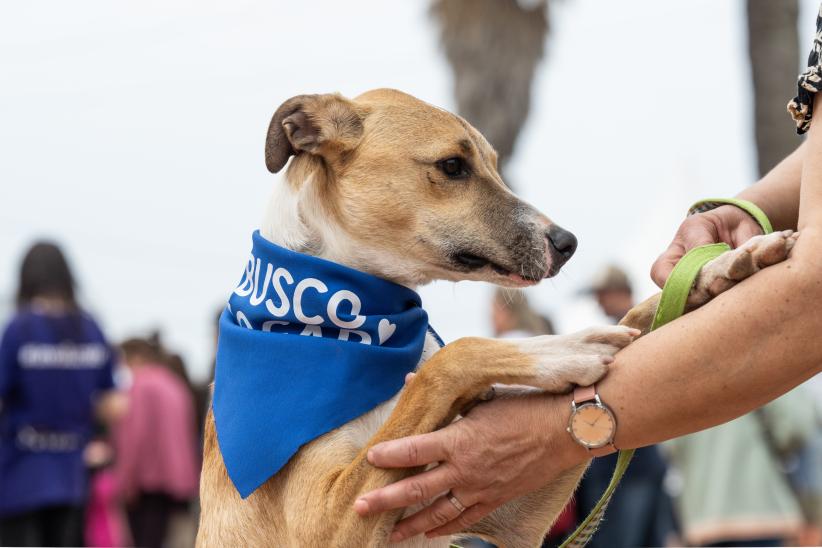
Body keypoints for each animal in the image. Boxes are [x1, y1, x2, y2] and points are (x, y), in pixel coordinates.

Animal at [198, 90, 800, 548]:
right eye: (452, 166)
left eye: (493, 163)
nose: (568, 244)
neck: (355, 321)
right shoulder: (325, 522)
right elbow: (452, 356)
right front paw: (564, 350)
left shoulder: (501, 512)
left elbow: (638, 312)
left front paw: (717, 269)